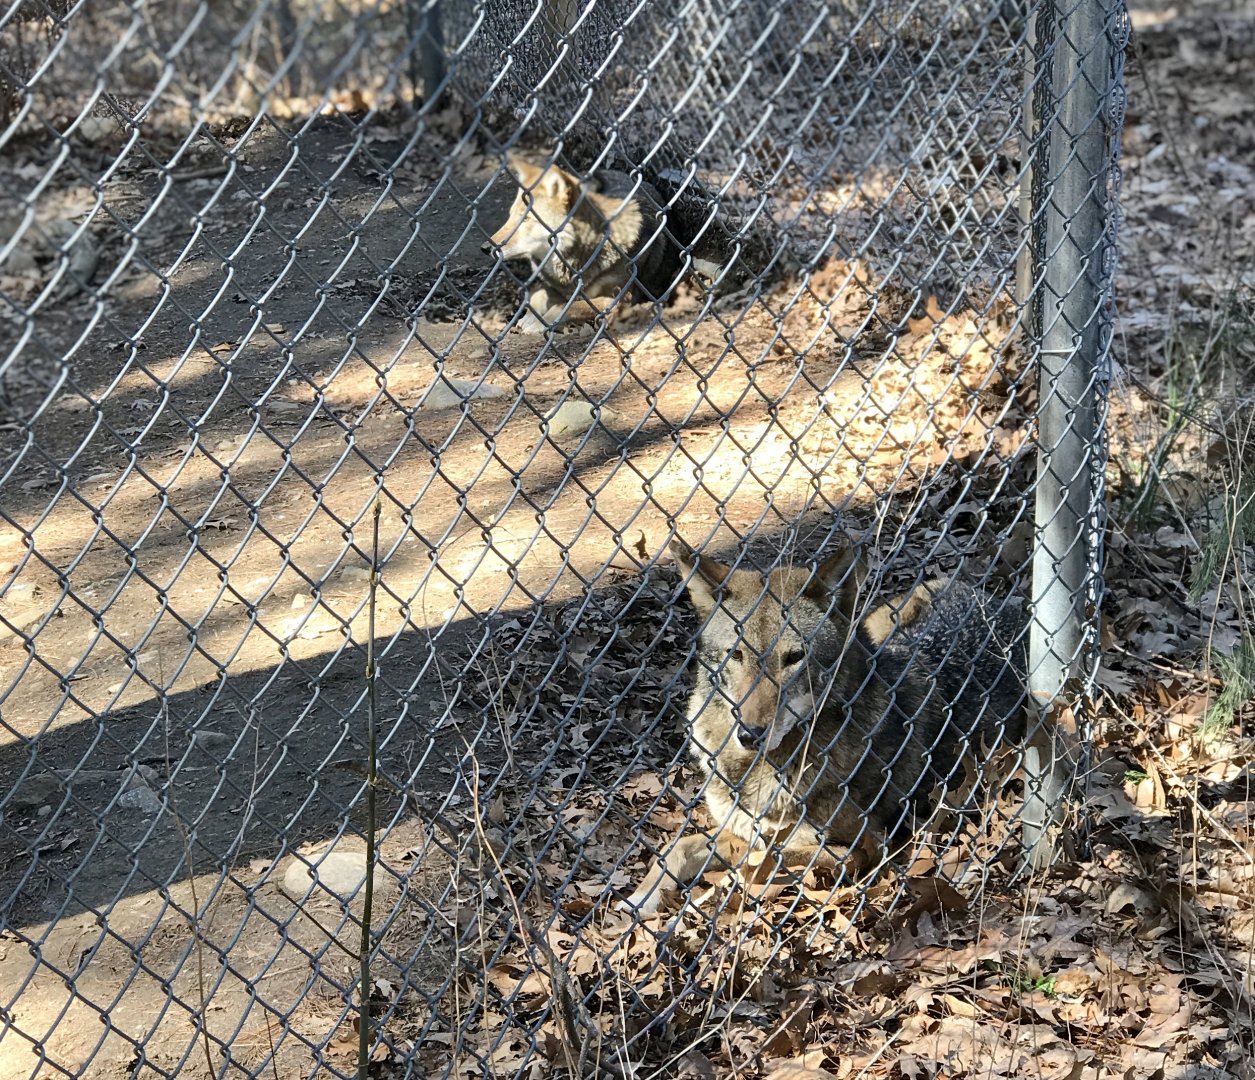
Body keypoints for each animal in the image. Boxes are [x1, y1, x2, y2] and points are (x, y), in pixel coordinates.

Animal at [484, 152, 684, 333]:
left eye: (525, 219)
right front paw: (531, 316)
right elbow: (538, 295)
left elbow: (571, 306)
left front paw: (542, 321)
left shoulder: (620, 300)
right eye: (509, 216)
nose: (485, 248)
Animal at [623, 538, 1030, 914]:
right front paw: (642, 896)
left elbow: (758, 862)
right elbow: (679, 847)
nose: (749, 734)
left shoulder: (859, 848)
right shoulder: (737, 826)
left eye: (794, 658)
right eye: (736, 654)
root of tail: (1006, 602)